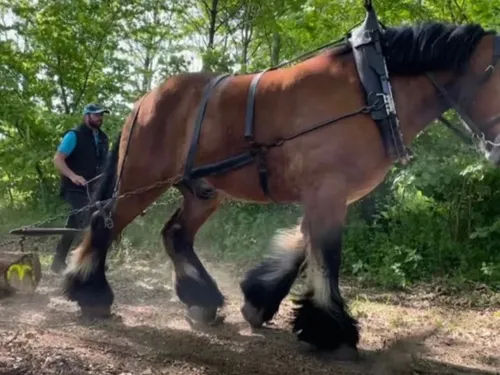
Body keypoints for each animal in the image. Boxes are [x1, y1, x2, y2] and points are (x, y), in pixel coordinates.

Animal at [61, 3, 500, 362]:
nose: (496, 150)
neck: (375, 89)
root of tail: (145, 100)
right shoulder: (327, 191)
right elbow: (325, 256)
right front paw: (333, 331)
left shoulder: (330, 195)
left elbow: (301, 247)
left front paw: (259, 303)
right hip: (143, 178)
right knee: (104, 223)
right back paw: (91, 295)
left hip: (203, 191)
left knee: (175, 234)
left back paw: (202, 301)